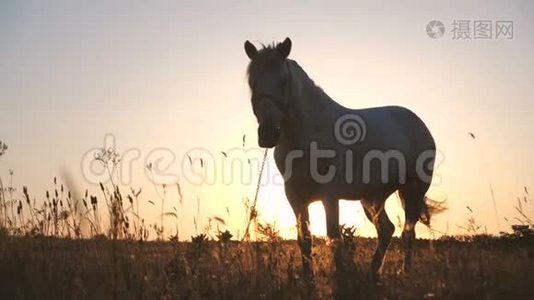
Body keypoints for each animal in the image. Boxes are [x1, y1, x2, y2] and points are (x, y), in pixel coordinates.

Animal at [245, 38, 438, 278]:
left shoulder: (330, 196)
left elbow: (334, 238)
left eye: (284, 80)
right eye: (252, 82)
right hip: (372, 198)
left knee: (407, 233)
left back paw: (405, 274)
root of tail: (419, 123)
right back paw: (373, 273)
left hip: (411, 191)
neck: (308, 136)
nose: (268, 134)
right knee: (386, 230)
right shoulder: (295, 197)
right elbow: (304, 240)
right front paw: (308, 280)